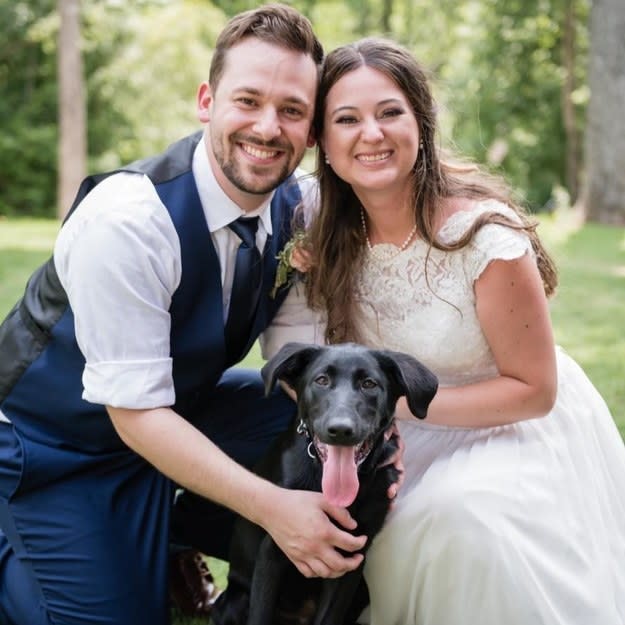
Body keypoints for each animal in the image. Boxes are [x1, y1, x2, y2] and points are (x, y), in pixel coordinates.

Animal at [212, 342, 436, 624]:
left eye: (370, 384)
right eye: (321, 380)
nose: (340, 430)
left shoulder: (351, 560)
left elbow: (329, 616)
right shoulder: (274, 550)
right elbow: (260, 614)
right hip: (235, 602)